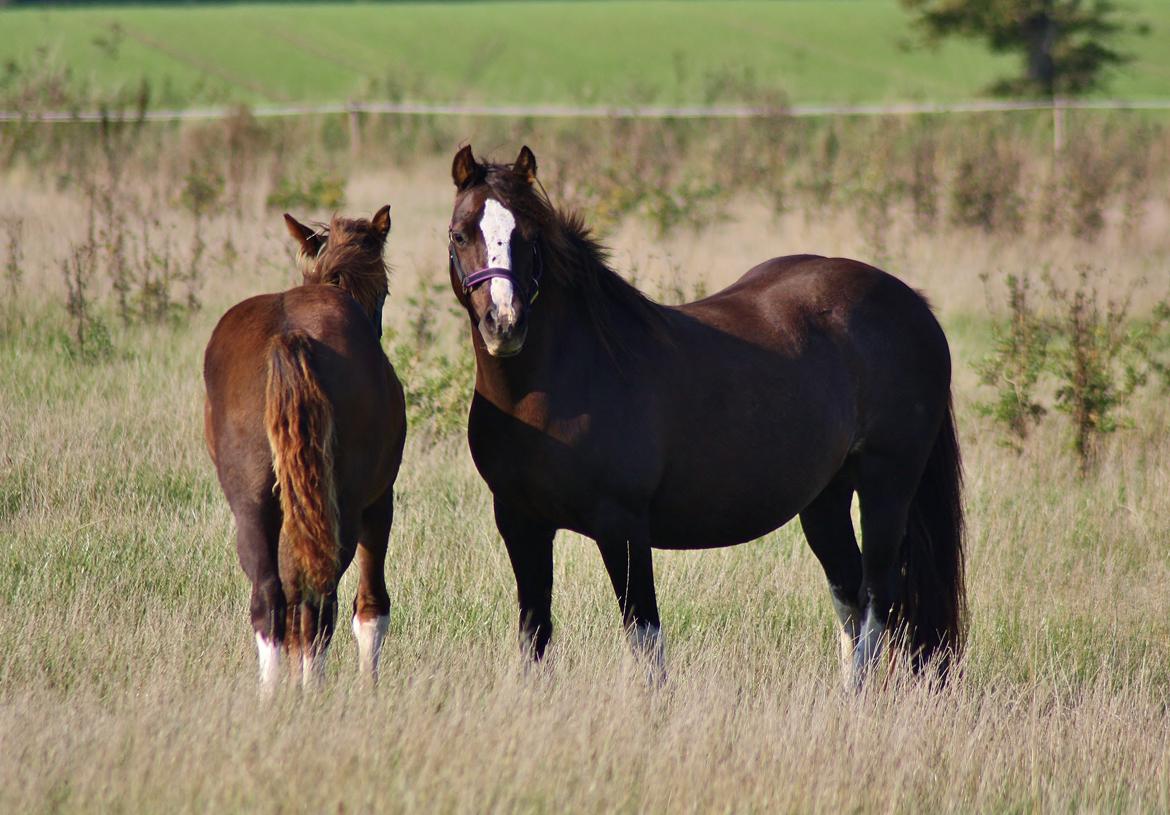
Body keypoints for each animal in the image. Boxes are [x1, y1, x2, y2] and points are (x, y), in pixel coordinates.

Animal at [201, 206, 402, 687]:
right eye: (384, 291)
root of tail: (287, 336)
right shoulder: (379, 502)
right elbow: (371, 608)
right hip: (342, 508)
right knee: (319, 601)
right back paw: (311, 690)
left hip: (254, 503)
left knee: (270, 599)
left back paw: (273, 693)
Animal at [446, 144, 968, 687]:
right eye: (460, 234)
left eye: (530, 237)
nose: (504, 324)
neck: (552, 387)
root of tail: (913, 304)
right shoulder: (520, 521)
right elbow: (535, 631)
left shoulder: (622, 527)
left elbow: (645, 640)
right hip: (826, 497)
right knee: (850, 593)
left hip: (888, 483)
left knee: (878, 596)